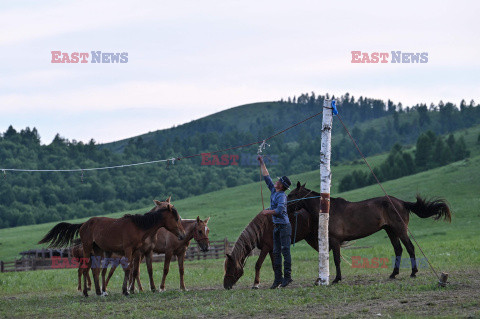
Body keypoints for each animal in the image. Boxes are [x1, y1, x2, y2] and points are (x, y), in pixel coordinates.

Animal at [38, 198, 186, 298]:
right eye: (177, 218)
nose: (183, 235)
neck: (138, 226)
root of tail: (84, 224)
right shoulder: (128, 250)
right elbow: (128, 269)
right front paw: (126, 291)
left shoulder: (136, 252)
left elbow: (135, 270)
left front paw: (134, 289)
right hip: (87, 249)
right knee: (85, 270)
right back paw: (86, 292)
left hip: (98, 250)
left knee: (96, 270)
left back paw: (99, 291)